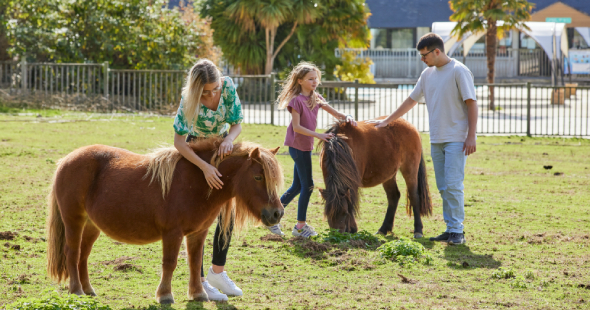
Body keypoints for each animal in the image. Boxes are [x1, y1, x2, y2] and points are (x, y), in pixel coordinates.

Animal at [45, 138, 284, 302]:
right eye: (257, 177)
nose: (277, 213)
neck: (197, 182)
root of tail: (66, 160)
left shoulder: (198, 233)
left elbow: (195, 262)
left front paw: (198, 294)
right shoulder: (172, 233)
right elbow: (170, 263)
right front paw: (165, 295)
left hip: (91, 225)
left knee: (83, 256)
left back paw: (88, 289)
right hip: (74, 221)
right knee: (72, 253)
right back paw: (76, 289)